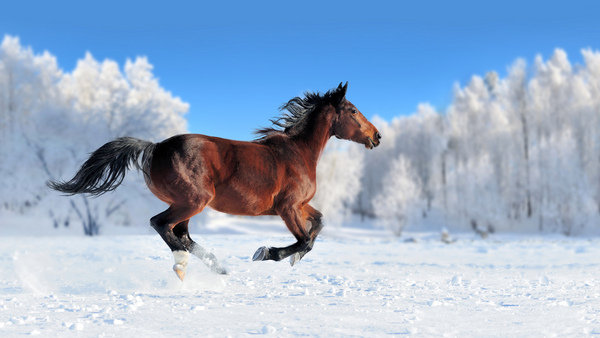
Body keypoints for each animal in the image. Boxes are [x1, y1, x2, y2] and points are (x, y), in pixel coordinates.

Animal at [49, 83, 382, 282]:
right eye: (353, 110)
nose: (377, 136)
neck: (298, 152)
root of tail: (155, 147)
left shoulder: (300, 205)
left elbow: (318, 226)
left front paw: (292, 259)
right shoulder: (287, 207)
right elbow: (304, 240)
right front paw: (266, 253)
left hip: (185, 203)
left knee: (180, 233)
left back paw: (217, 266)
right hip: (192, 201)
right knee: (162, 225)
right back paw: (184, 265)